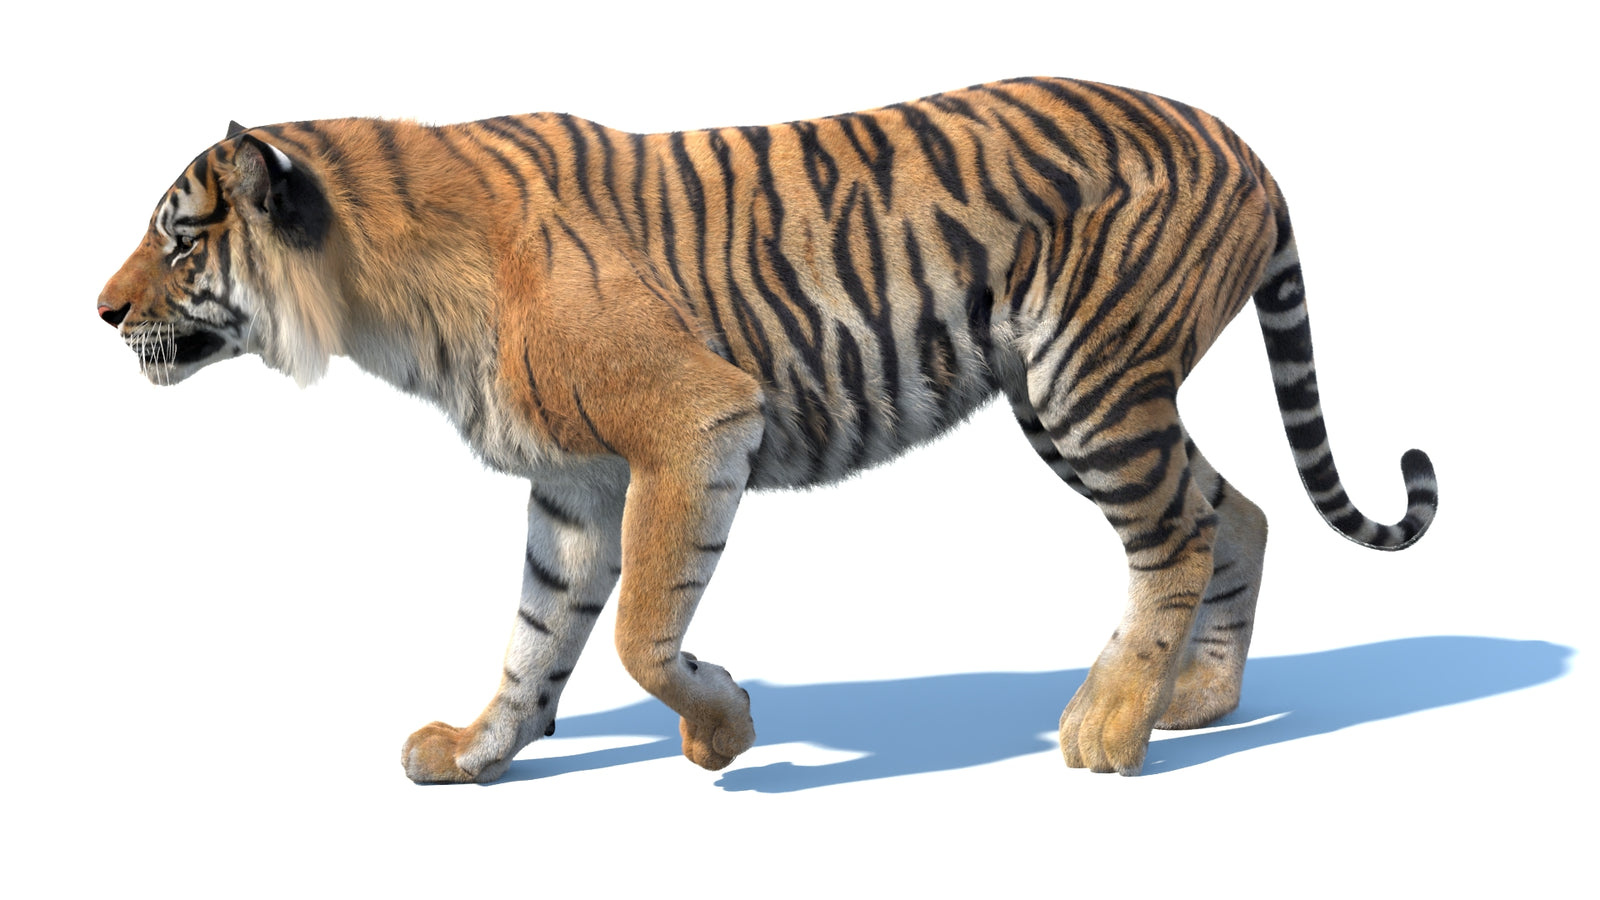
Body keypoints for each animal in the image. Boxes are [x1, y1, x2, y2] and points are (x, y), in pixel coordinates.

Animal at [97, 77, 1437, 782]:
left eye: (177, 236)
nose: (100, 312)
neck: (380, 298)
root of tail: (1242, 138)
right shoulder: (575, 488)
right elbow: (536, 636)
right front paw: (479, 752)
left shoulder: (693, 427)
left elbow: (639, 631)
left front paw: (724, 728)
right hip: (1083, 395)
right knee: (1236, 507)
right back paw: (1195, 696)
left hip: (1087, 383)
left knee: (1174, 534)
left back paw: (1110, 728)